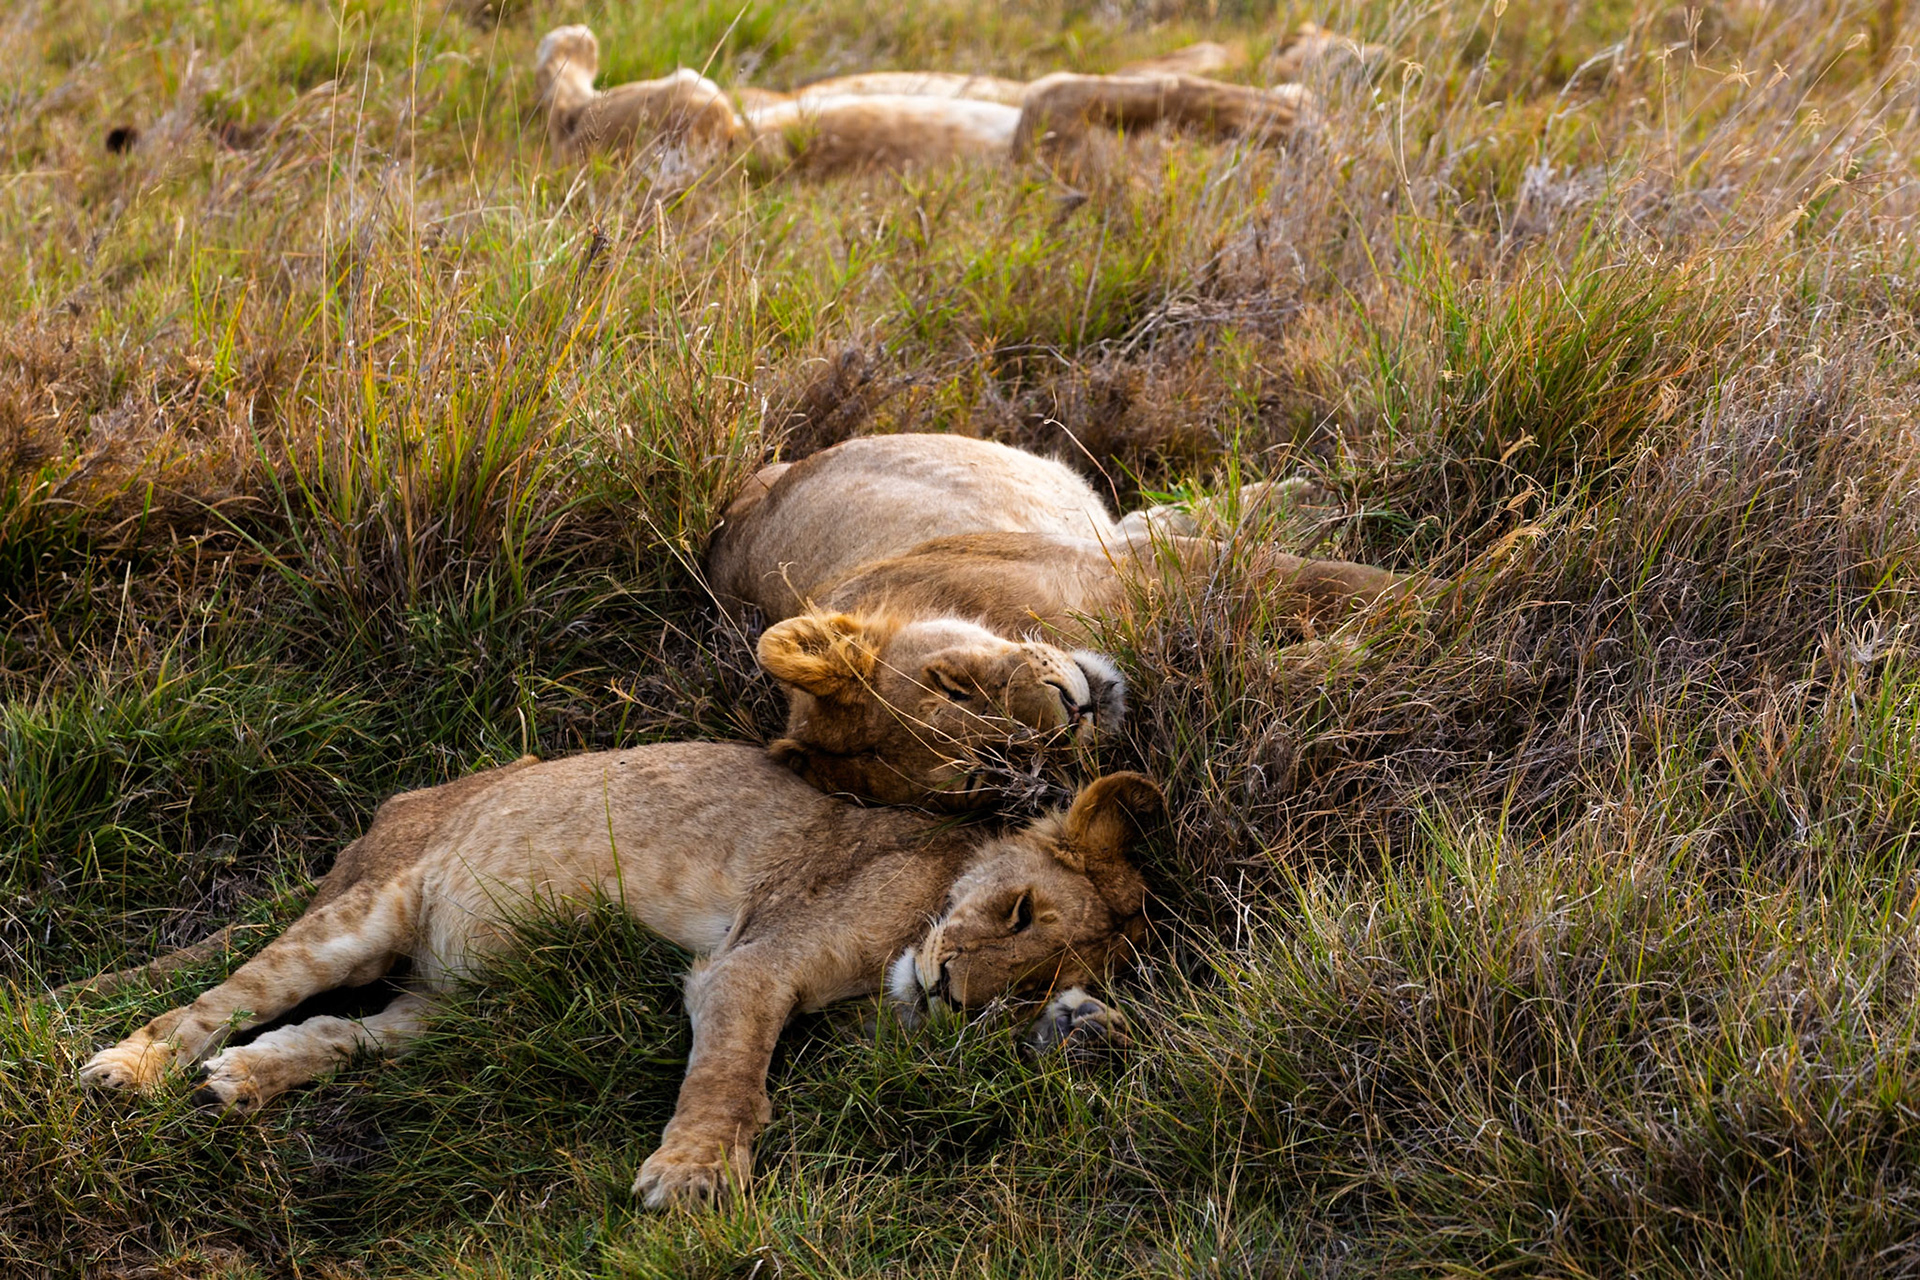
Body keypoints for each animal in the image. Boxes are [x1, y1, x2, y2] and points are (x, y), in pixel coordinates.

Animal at [76, 742, 1159, 1209]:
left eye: (1027, 983)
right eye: (1019, 911)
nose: (953, 993)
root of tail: (389, 807)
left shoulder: (865, 1043)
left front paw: (1085, 1031)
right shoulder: (748, 965)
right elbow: (729, 1079)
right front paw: (691, 1174)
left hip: (452, 1006)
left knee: (343, 1031)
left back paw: (243, 1081)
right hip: (362, 912)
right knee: (214, 1003)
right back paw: (128, 1071)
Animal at [705, 434, 1439, 808]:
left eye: (951, 684)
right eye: (984, 774)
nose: (1071, 711)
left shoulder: (1136, 571)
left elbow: (1352, 586)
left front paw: (1455, 598)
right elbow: (1273, 675)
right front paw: (1359, 658)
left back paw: (1328, 487)